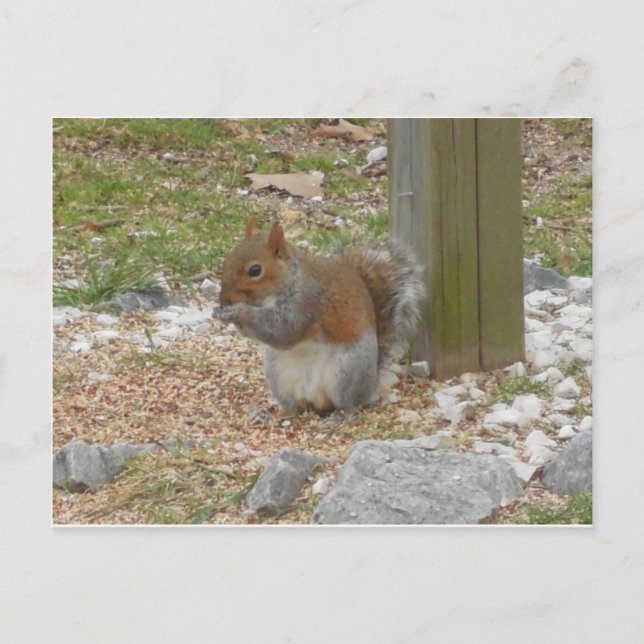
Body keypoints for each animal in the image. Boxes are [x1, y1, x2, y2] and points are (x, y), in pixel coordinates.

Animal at [212, 218, 425, 415]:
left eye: (255, 270)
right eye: (227, 260)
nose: (224, 301)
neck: (288, 279)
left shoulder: (308, 301)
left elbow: (282, 330)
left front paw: (239, 311)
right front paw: (219, 312)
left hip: (348, 371)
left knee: (350, 403)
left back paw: (341, 415)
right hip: (277, 375)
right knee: (294, 406)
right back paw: (276, 415)